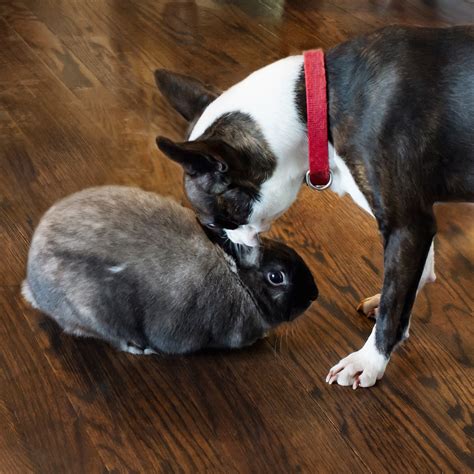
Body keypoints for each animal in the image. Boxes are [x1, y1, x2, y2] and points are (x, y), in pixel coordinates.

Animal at [23, 187, 318, 354]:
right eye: (276, 277)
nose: (313, 295)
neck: (240, 281)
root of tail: (34, 288)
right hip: (96, 312)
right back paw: (140, 349)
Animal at [154, 25, 472, 386]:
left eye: (212, 222)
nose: (227, 244)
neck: (310, 106)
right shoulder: (418, 220)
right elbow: (412, 278)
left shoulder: (408, 225)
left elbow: (395, 301)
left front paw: (370, 360)